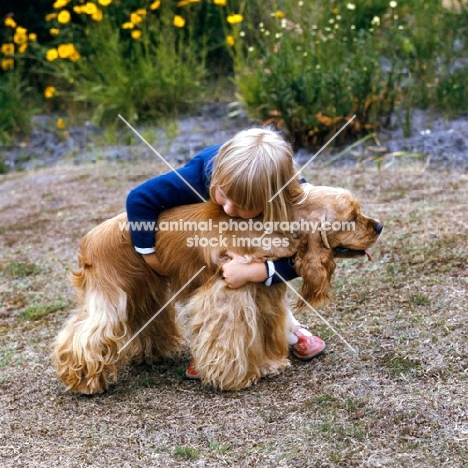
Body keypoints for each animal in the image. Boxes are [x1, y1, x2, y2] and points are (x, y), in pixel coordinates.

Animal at [51, 185, 382, 394]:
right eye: (352, 218)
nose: (379, 226)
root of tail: (87, 241)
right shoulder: (228, 293)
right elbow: (229, 338)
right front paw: (235, 379)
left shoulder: (262, 292)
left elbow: (263, 333)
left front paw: (269, 365)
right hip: (112, 296)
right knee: (84, 334)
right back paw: (84, 381)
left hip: (143, 292)